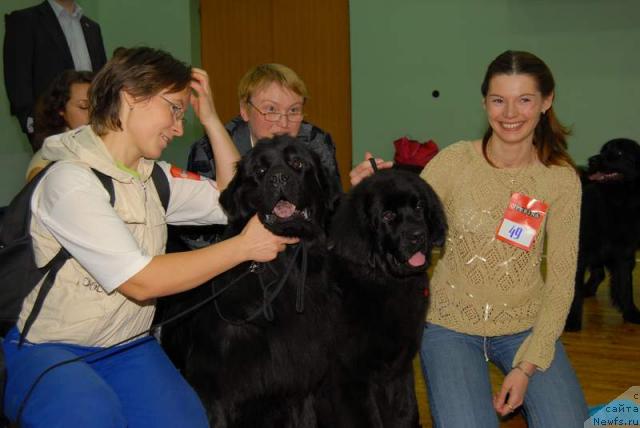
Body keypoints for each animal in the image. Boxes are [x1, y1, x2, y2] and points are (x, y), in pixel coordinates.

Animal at [322, 170, 448, 428]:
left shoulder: (398, 369)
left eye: (419, 206)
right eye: (388, 216)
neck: (387, 282)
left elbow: (406, 412)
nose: (418, 235)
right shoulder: (352, 375)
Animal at [564, 137, 640, 332]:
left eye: (619, 152)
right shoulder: (580, 253)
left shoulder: (624, 254)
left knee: (599, 272)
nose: (592, 160)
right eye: (603, 150)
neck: (615, 203)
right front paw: (572, 321)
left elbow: (625, 286)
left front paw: (631, 313)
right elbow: (574, 290)